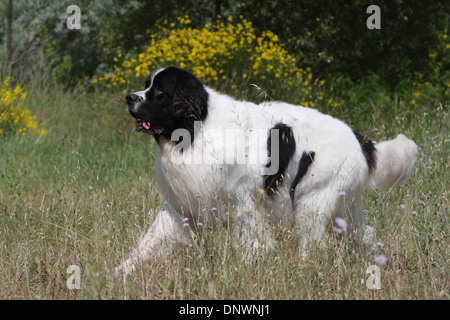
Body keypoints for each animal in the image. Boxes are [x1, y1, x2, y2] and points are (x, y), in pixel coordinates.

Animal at [117, 65, 418, 276]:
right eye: (146, 86)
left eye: (159, 92)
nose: (129, 97)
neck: (196, 129)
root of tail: (360, 138)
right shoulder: (180, 206)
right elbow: (153, 238)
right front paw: (124, 270)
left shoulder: (243, 203)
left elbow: (253, 240)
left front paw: (252, 266)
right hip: (345, 206)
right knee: (362, 234)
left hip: (313, 200)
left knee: (312, 242)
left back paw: (304, 269)